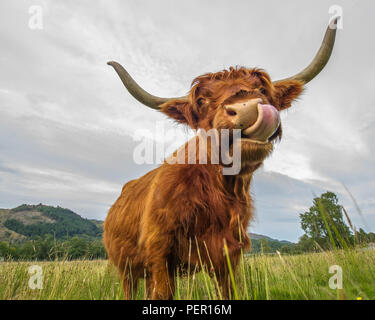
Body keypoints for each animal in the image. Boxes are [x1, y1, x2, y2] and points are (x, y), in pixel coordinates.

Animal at [104, 20, 340, 300]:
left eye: (262, 89)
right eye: (202, 100)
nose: (246, 107)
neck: (218, 190)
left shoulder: (228, 254)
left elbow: (228, 291)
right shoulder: (159, 250)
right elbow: (162, 294)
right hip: (126, 268)